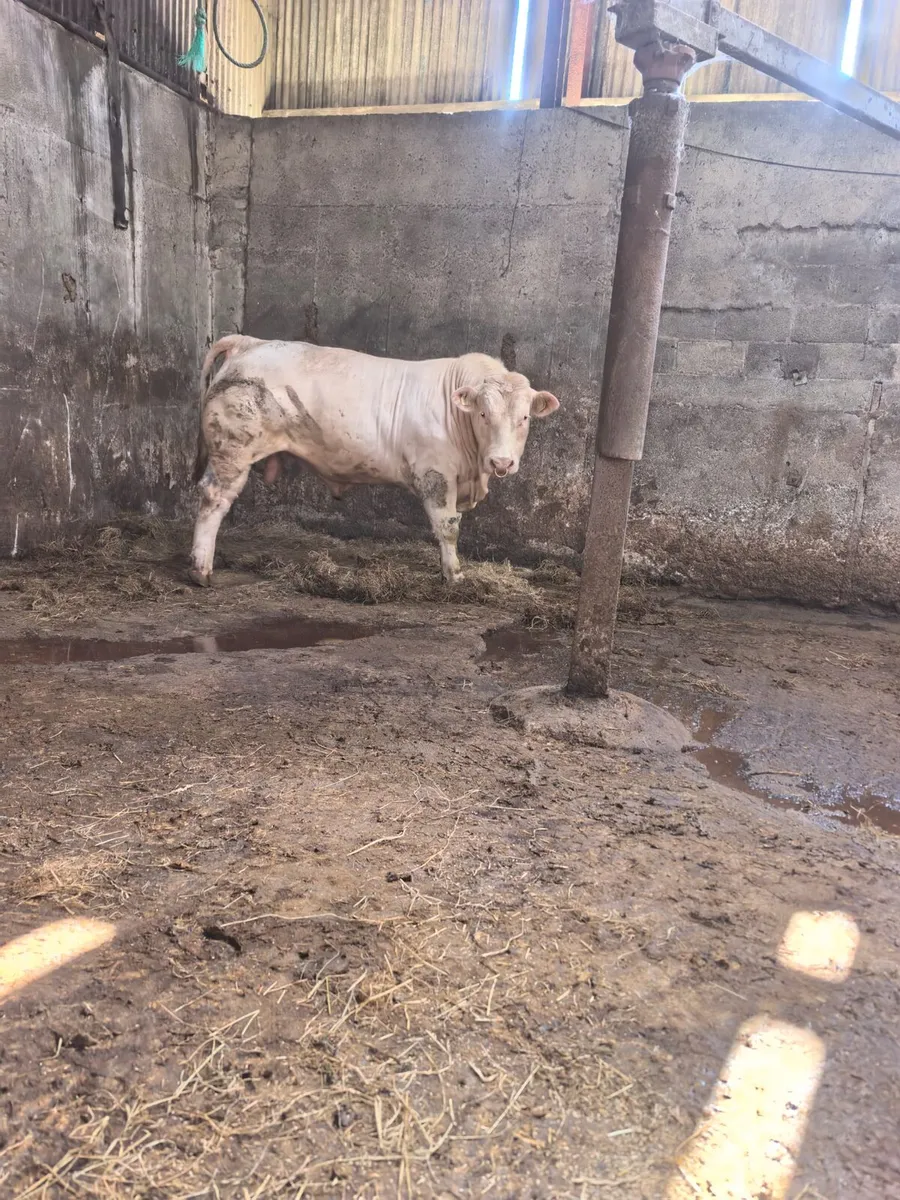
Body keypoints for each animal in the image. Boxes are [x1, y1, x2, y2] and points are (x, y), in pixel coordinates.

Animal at [189, 335, 560, 587]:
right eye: (483, 414)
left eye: (525, 418)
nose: (501, 462)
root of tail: (250, 343)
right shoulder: (435, 474)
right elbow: (448, 526)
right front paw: (454, 575)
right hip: (232, 450)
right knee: (213, 498)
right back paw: (201, 569)